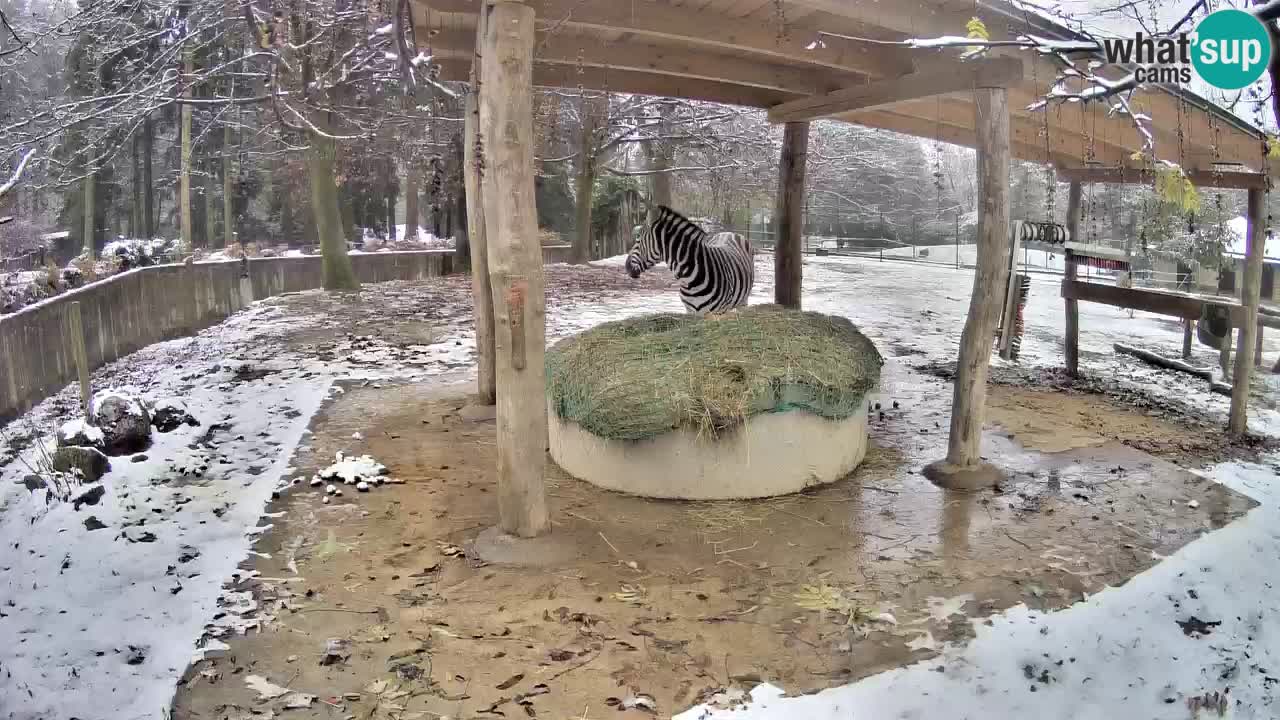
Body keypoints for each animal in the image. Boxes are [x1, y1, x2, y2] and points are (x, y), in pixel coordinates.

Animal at [624, 204, 752, 311]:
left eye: (638, 239)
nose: (626, 267)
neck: (688, 280)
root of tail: (729, 233)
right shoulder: (690, 311)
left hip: (742, 301)